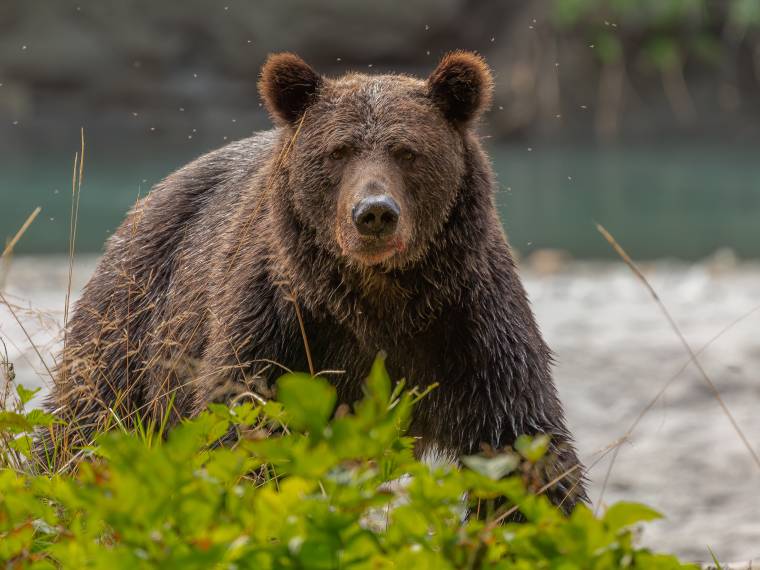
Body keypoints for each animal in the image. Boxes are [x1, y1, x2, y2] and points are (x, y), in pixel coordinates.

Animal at [42, 51, 587, 512]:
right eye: (339, 151)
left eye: (408, 151)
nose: (374, 213)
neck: (380, 298)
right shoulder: (282, 320)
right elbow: (246, 429)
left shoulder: (470, 322)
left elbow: (521, 444)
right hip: (134, 319)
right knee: (84, 429)